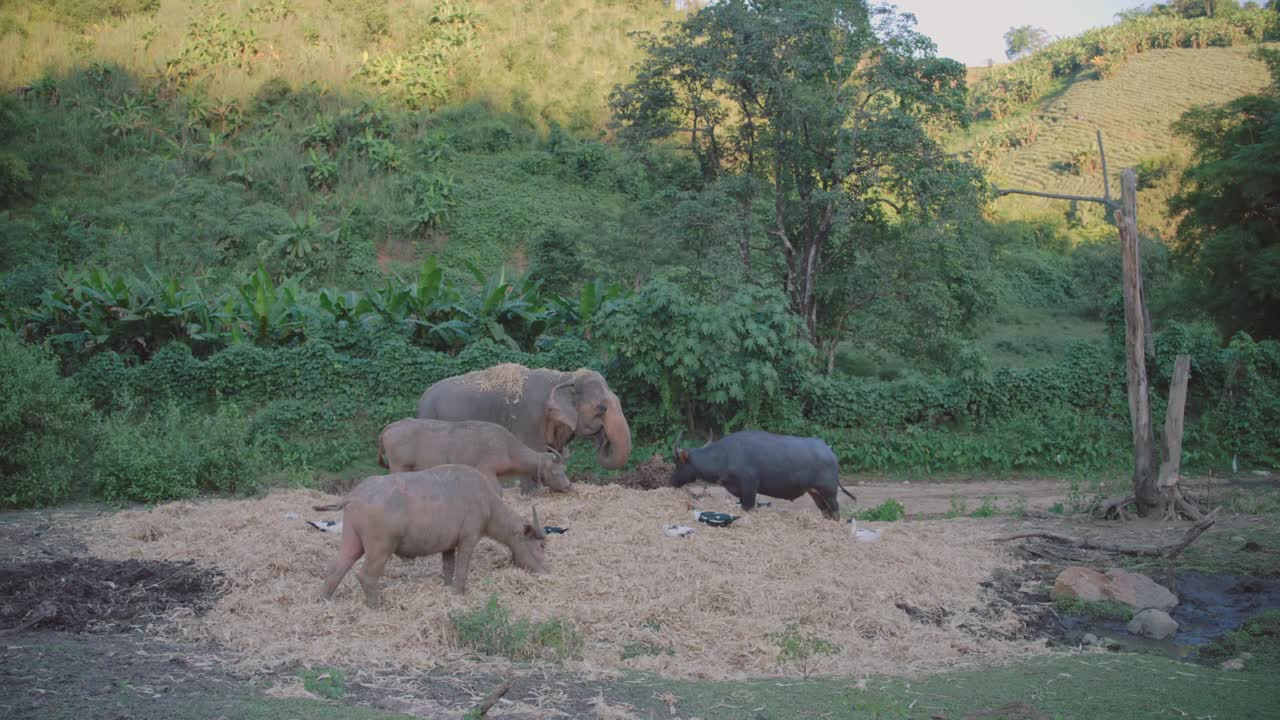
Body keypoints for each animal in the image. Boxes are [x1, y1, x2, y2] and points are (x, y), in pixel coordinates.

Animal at [417, 363, 632, 493]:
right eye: (601, 408)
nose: (603, 439)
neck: (564, 377)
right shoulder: (529, 417)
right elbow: (533, 450)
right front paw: (532, 494)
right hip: (429, 416)